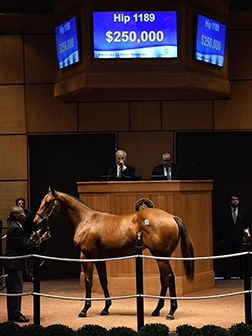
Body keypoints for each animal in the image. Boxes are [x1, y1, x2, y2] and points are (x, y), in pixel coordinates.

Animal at [33, 186, 194, 320]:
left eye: (47, 202)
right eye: (42, 201)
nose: (36, 222)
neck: (86, 220)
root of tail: (172, 217)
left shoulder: (86, 257)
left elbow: (89, 281)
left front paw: (85, 309)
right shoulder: (99, 258)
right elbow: (103, 281)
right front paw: (105, 308)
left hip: (161, 257)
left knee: (169, 278)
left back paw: (171, 312)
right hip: (159, 257)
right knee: (164, 280)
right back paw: (157, 310)